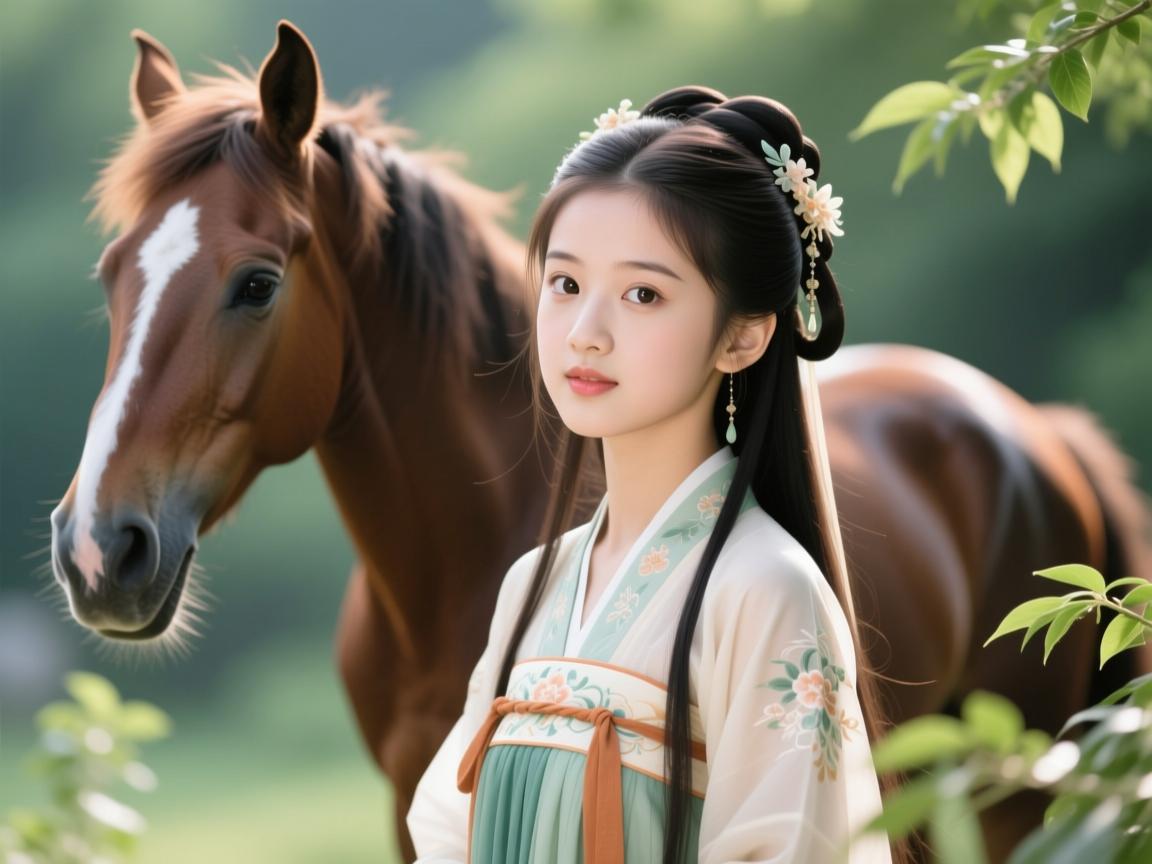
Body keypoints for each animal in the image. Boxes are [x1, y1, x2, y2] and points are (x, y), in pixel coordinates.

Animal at [44, 20, 1152, 863]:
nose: (99, 549)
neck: (447, 573)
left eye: (257, 283)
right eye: (110, 274)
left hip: (1016, 773)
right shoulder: (415, 804)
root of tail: (1032, 427)